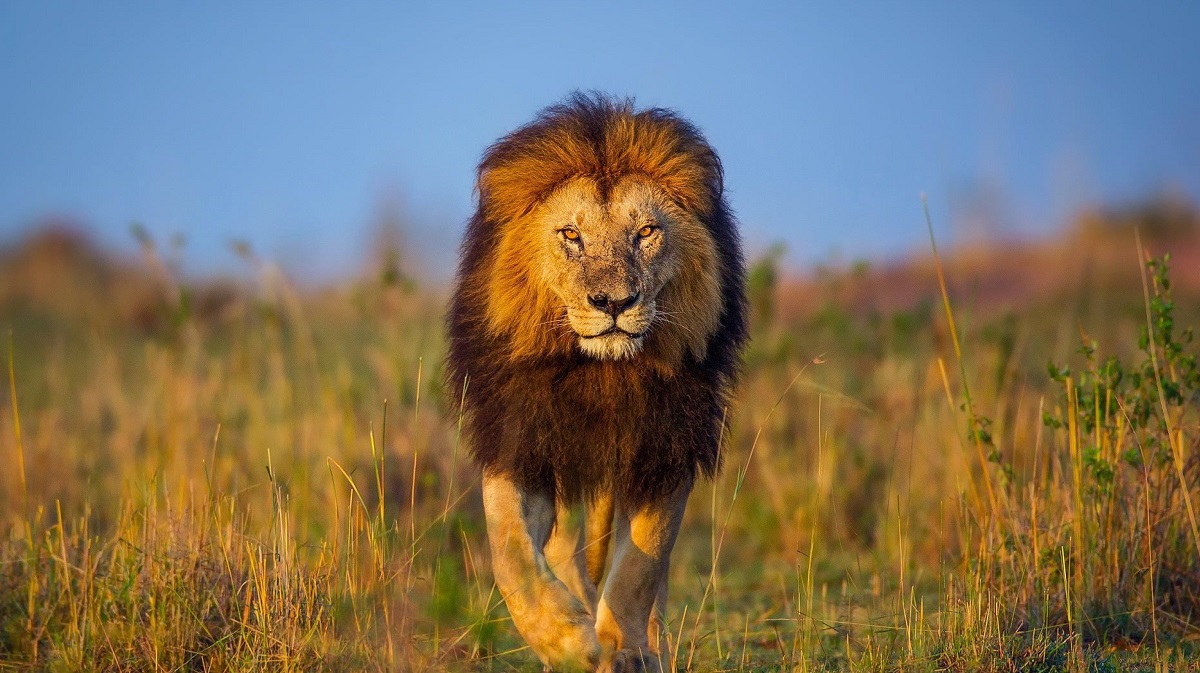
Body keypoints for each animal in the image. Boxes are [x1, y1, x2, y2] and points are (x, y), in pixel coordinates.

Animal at [446, 93, 747, 672]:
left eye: (646, 232)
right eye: (571, 235)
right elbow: (510, 552)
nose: (613, 303)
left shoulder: (665, 446)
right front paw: (569, 644)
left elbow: (641, 568)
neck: (602, 374)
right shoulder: (522, 441)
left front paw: (623, 650)